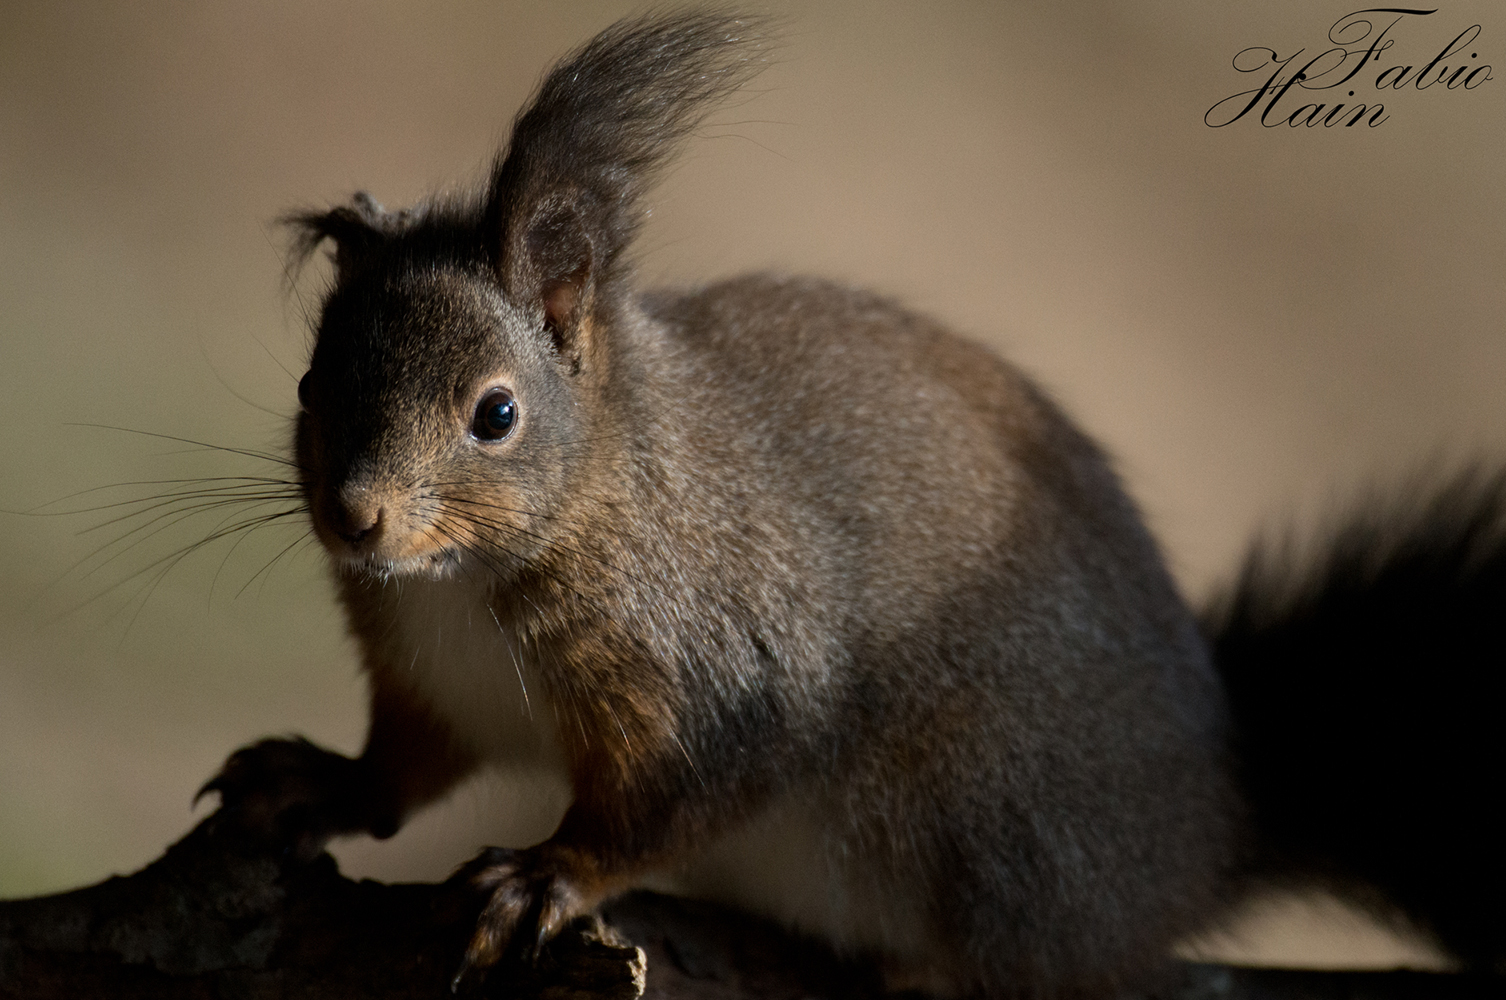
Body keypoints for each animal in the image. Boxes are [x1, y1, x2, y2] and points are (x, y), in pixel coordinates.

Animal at [200, 9, 1506, 1000]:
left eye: (497, 413)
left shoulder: (722, 670)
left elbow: (671, 800)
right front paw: (314, 779)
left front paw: (549, 877)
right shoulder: (434, 679)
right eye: (312, 383)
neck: (476, 579)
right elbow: (402, 767)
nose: (355, 517)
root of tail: (1201, 847)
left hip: (991, 825)